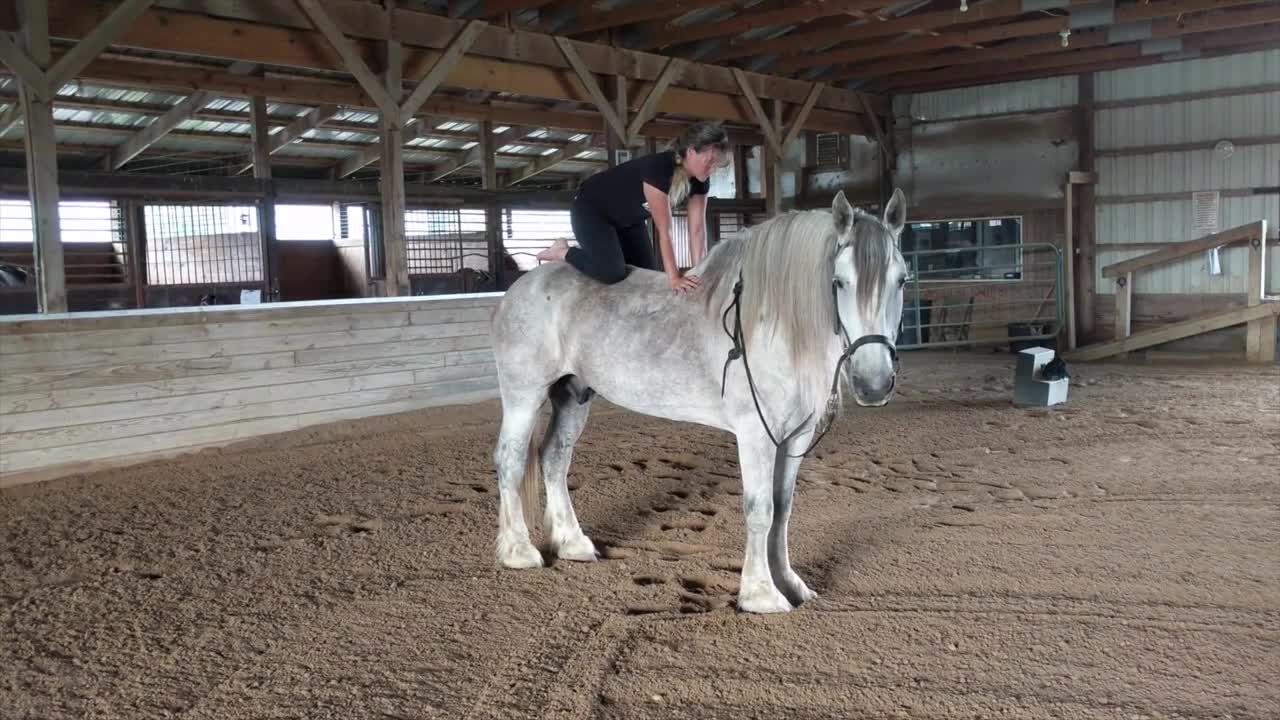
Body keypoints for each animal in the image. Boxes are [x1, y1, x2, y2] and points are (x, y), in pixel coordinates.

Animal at [488, 188, 911, 607]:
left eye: (902, 280)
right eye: (839, 281)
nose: (874, 383)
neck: (772, 325)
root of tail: (520, 288)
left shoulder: (795, 437)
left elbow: (784, 508)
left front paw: (790, 584)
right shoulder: (756, 435)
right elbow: (760, 509)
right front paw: (761, 594)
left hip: (574, 395)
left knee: (555, 458)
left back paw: (573, 543)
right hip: (524, 396)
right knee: (510, 461)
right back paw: (519, 551)